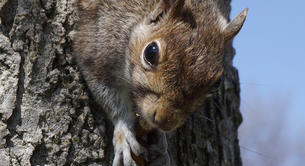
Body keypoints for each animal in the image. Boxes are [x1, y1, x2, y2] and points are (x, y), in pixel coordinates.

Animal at [73, 0, 247, 165]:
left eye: (217, 84)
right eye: (151, 52)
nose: (165, 122)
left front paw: (162, 142)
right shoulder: (97, 46)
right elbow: (108, 95)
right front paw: (125, 135)